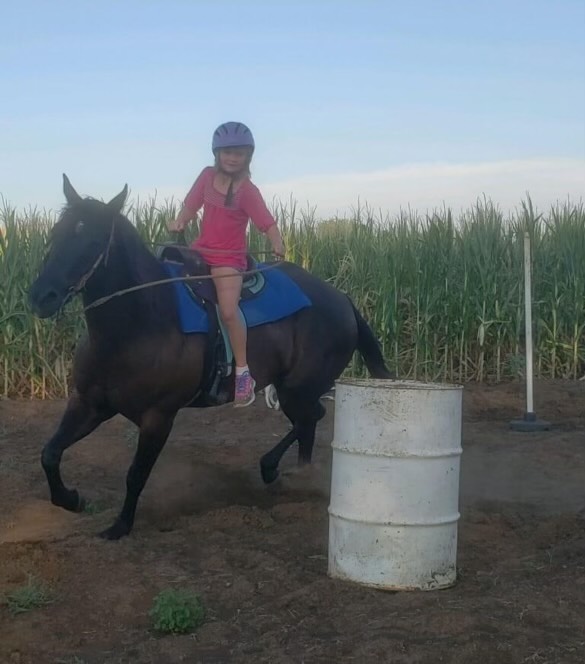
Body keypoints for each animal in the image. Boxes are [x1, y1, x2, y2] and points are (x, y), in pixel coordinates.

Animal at [28, 175, 392, 540]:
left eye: (93, 240)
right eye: (55, 234)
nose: (41, 296)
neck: (138, 326)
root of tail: (342, 300)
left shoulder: (158, 417)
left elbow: (135, 474)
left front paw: (119, 526)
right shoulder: (89, 403)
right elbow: (49, 453)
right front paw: (71, 499)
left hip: (297, 389)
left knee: (310, 418)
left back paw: (282, 471)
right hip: (294, 389)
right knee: (309, 422)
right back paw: (286, 473)